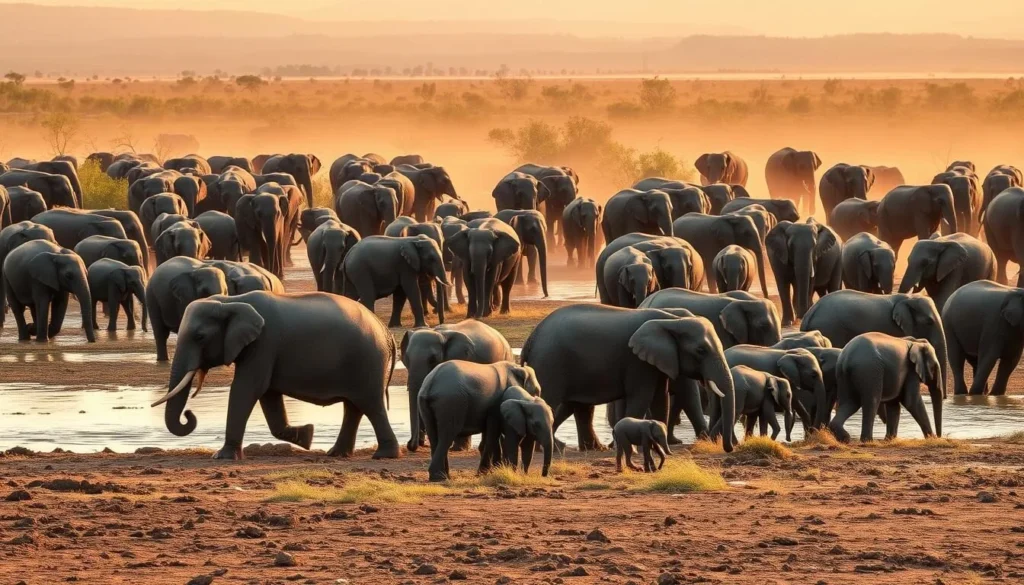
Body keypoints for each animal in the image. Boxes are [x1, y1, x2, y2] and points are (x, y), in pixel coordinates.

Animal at [153, 292, 399, 460]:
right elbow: (268, 395)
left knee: (370, 404)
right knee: (354, 407)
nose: (189, 414)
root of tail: (385, 331)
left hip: (368, 361)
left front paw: (222, 457)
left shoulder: (264, 344)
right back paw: (336, 453)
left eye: (200, 337)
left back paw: (383, 455)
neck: (230, 301)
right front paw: (307, 436)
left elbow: (247, 388)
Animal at [401, 319, 513, 451]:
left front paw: (458, 449)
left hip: (507, 356)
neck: (438, 333)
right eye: (406, 359)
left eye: (433, 359)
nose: (411, 445)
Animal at [520, 305, 737, 452]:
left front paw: (658, 445)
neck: (670, 320)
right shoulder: (637, 362)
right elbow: (641, 397)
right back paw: (552, 448)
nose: (729, 448)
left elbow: (660, 398)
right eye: (701, 351)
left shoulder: (656, 362)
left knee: (579, 407)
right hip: (550, 363)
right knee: (551, 401)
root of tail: (531, 338)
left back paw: (592, 448)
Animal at [800, 290, 948, 394]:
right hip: (832, 329)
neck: (908, 298)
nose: (945, 397)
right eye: (929, 322)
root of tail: (809, 314)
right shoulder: (892, 327)